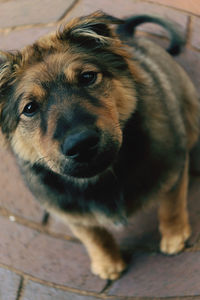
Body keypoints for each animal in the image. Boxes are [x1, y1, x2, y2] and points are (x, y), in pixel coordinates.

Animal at [0, 11, 200, 278]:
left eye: (87, 77)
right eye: (29, 108)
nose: (81, 144)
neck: (104, 179)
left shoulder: (172, 166)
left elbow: (171, 204)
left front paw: (175, 236)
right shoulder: (66, 209)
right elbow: (92, 235)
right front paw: (107, 263)